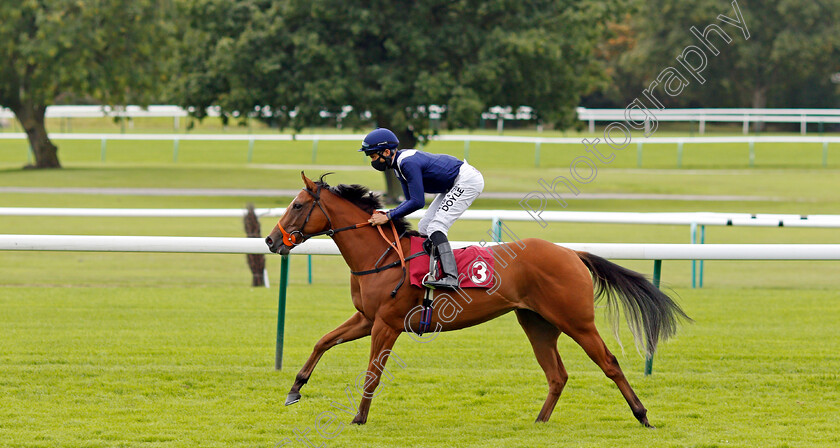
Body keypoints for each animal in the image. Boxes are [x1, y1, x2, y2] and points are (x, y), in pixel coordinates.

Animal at [268, 172, 688, 428]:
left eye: (298, 205)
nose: (272, 241)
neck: (383, 256)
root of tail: (572, 253)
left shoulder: (387, 325)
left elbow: (373, 373)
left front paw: (358, 418)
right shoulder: (367, 319)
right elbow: (322, 342)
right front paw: (295, 389)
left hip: (577, 321)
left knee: (610, 363)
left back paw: (643, 415)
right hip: (537, 323)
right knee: (557, 374)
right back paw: (539, 422)